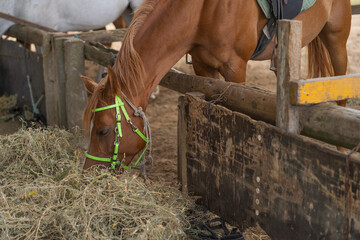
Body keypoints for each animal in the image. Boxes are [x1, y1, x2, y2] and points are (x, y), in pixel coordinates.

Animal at [81, 0, 352, 171]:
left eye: (103, 131)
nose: (89, 171)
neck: (203, 10)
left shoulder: (236, 69)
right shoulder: (204, 68)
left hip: (336, 38)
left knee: (342, 87)